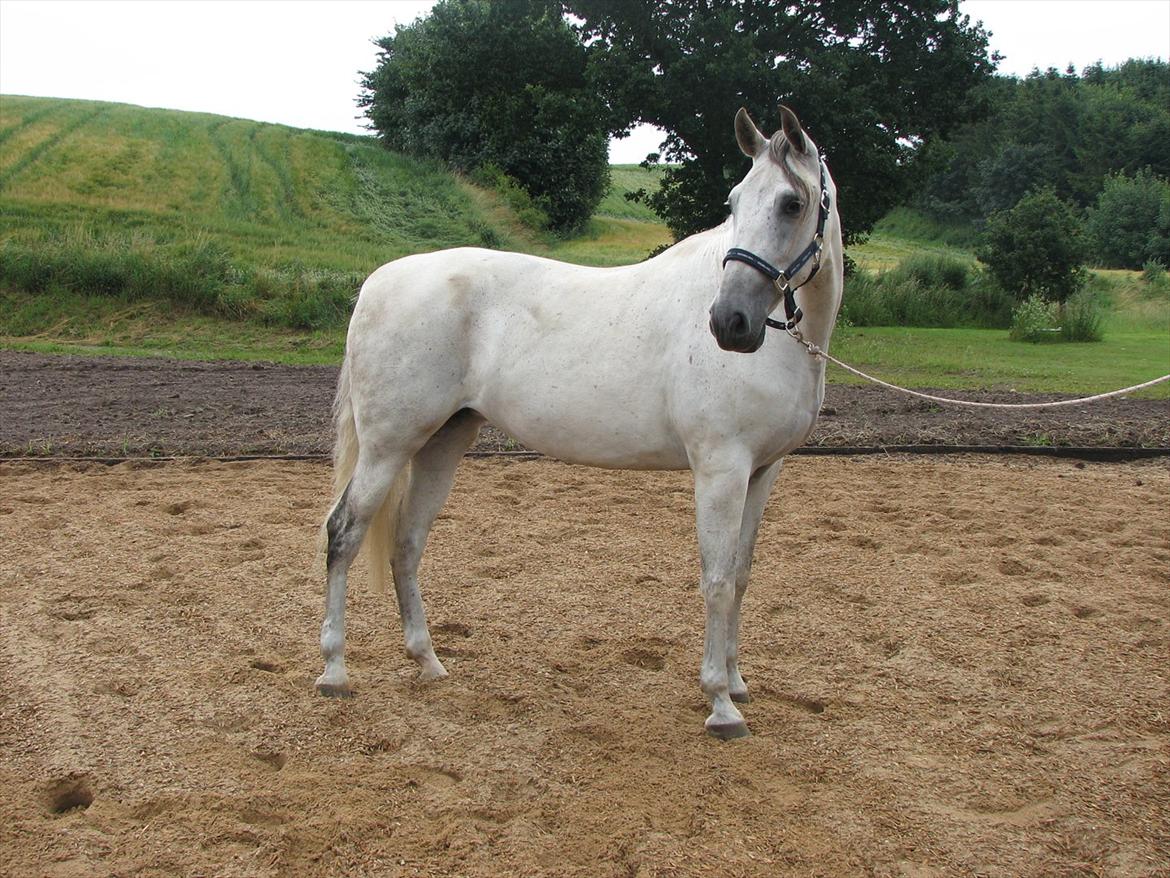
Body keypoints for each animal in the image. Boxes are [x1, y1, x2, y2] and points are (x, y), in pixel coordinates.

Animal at [320, 106, 842, 739]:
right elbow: (716, 581)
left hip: (443, 441)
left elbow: (741, 575)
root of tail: (378, 282)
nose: (729, 322)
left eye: (792, 203)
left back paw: (427, 661)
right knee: (344, 532)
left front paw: (739, 683)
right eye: (735, 201)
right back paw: (335, 672)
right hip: (387, 446)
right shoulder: (722, 468)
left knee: (406, 543)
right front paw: (720, 703)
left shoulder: (764, 470)